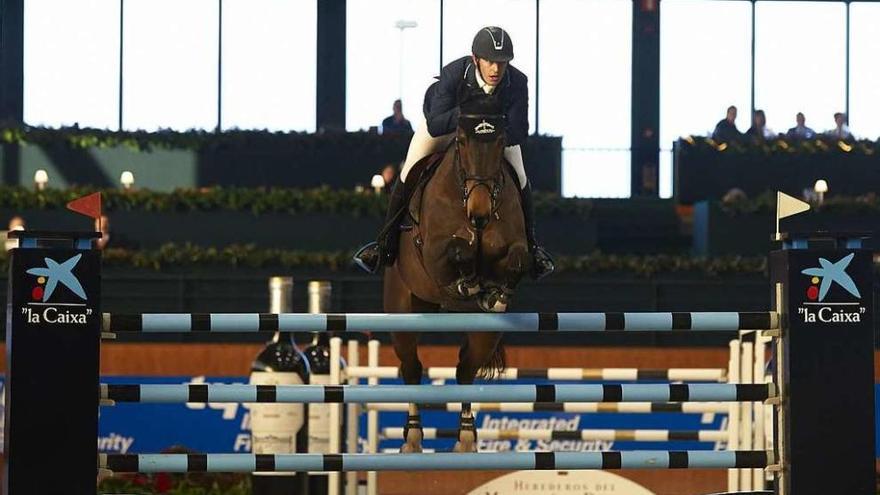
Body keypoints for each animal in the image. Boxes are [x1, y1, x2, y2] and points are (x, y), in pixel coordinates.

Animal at [384, 112, 528, 454]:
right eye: (461, 142)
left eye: (501, 142)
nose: (480, 214)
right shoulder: (435, 252)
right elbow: (458, 251)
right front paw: (469, 282)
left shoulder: (515, 246)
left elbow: (518, 260)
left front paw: (495, 294)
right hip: (404, 311)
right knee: (411, 367)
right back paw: (412, 439)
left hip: (484, 335)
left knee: (465, 369)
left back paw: (465, 438)